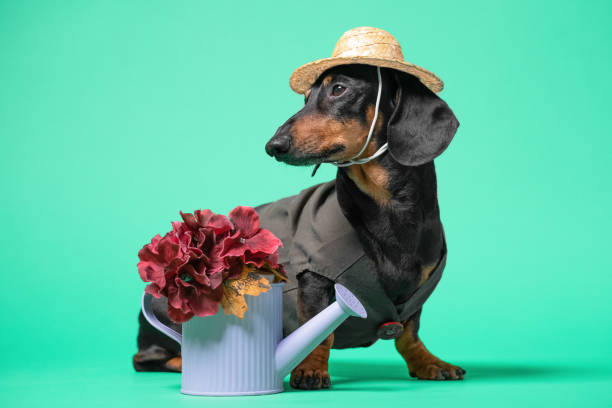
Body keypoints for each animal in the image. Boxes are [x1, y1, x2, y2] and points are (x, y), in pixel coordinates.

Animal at [131, 63, 462, 388]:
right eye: (306, 98)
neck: (387, 208)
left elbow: (408, 333)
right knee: (146, 358)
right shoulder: (315, 277)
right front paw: (311, 370)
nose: (273, 145)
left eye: (338, 89)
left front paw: (428, 362)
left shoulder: (416, 292)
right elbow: (319, 333)